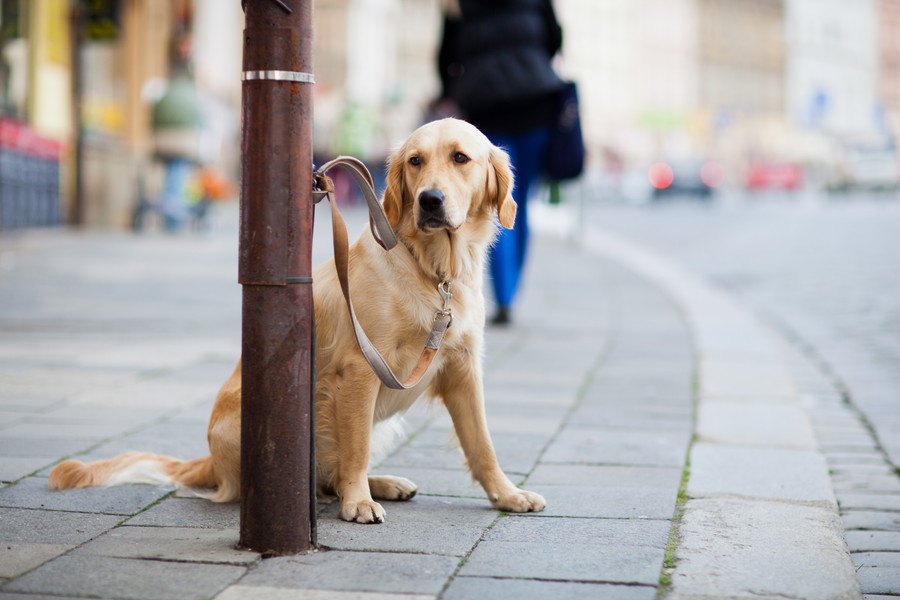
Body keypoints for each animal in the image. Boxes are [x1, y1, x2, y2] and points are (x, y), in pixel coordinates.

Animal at [51, 117, 548, 520]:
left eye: (460, 158)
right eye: (415, 161)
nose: (429, 200)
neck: (434, 270)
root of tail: (210, 461)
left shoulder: (463, 368)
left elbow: (482, 443)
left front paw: (507, 494)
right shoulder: (361, 370)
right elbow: (356, 451)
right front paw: (358, 503)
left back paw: (385, 484)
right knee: (322, 474)